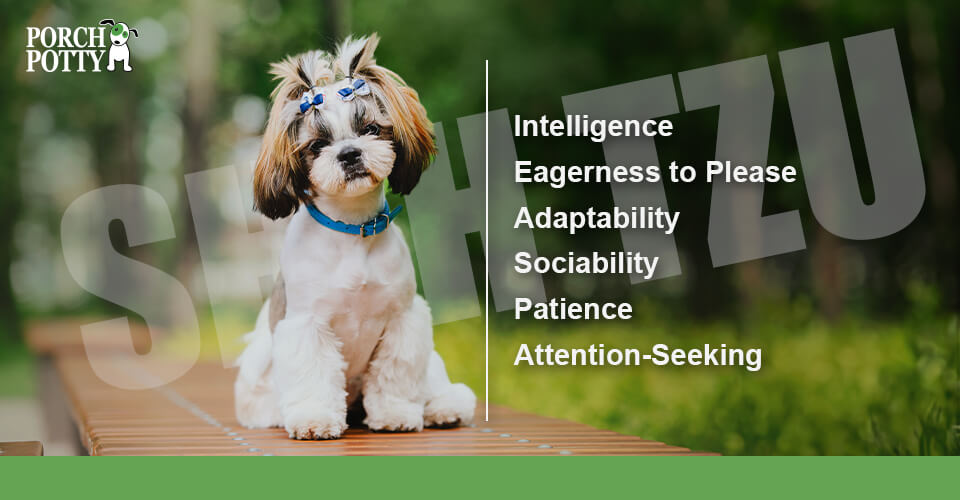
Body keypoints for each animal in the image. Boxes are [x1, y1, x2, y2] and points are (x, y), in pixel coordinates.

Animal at [236, 34, 476, 438]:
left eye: (371, 130)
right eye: (317, 145)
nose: (349, 153)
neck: (352, 230)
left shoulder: (403, 318)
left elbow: (395, 373)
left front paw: (395, 413)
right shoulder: (306, 324)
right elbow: (314, 375)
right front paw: (315, 418)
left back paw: (443, 407)